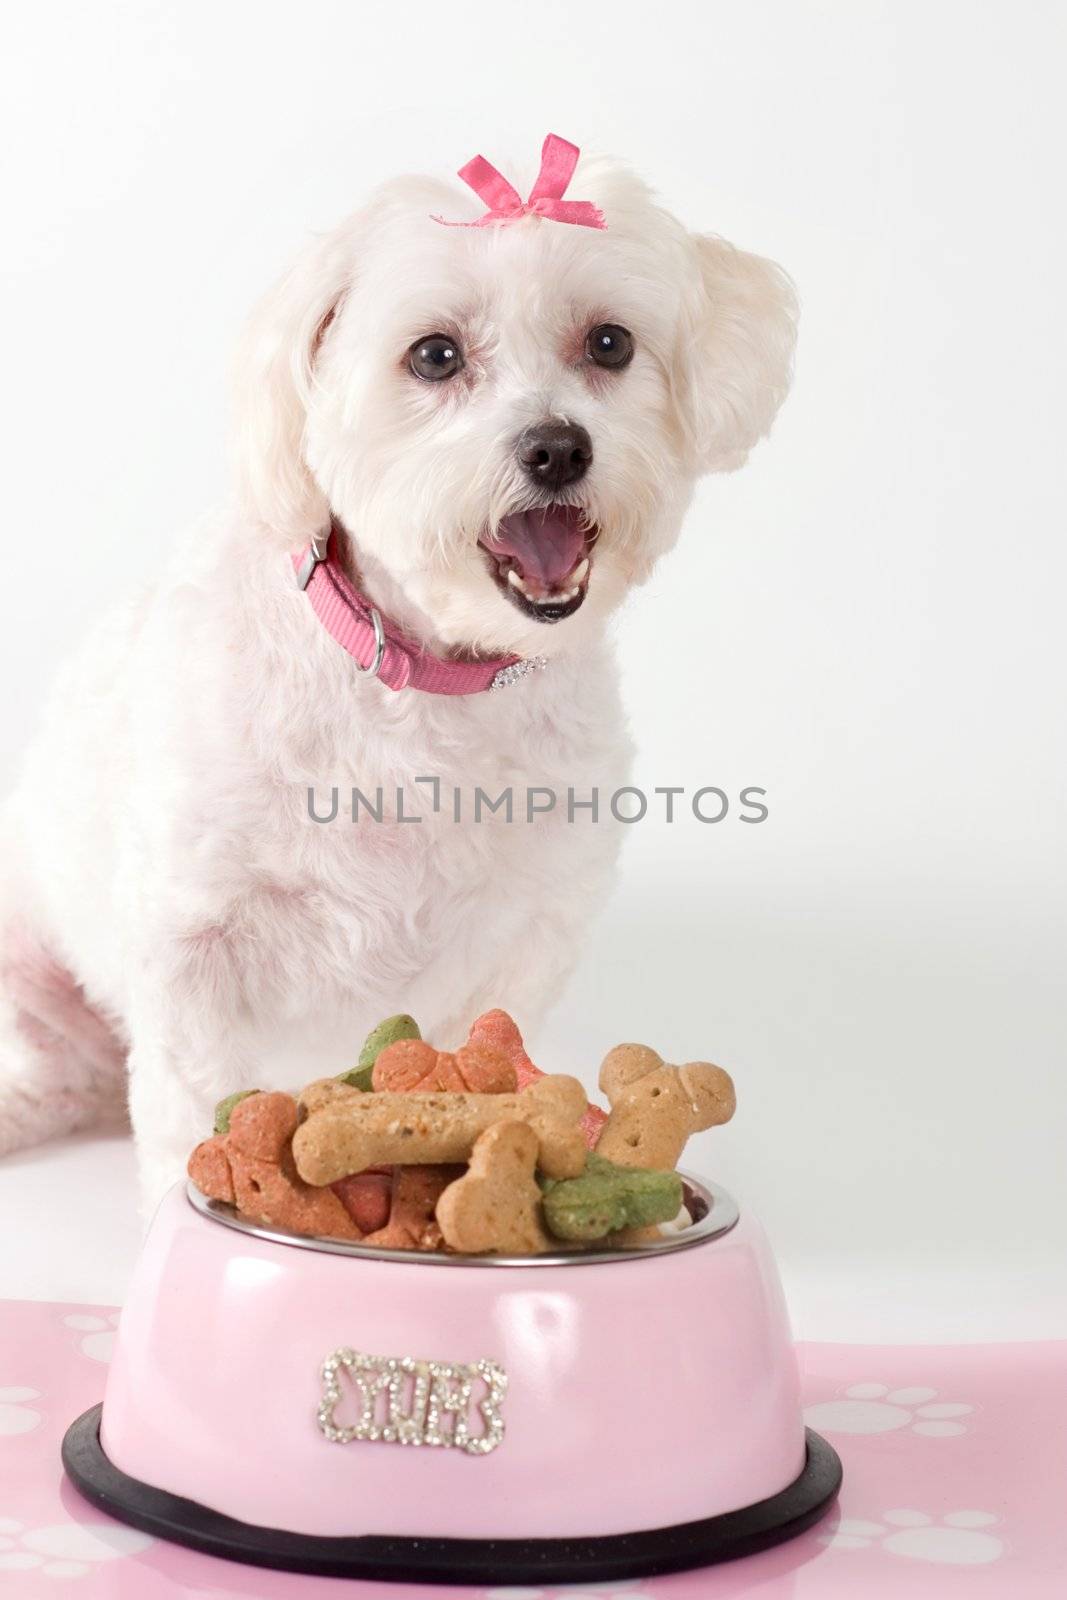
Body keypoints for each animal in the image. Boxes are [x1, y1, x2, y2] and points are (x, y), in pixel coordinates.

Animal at [0, 140, 790, 1209]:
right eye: (435, 355)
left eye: (610, 343)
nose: (557, 447)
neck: (421, 681)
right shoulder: (193, 940)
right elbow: (191, 1098)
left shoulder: (524, 938)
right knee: (65, 1065)